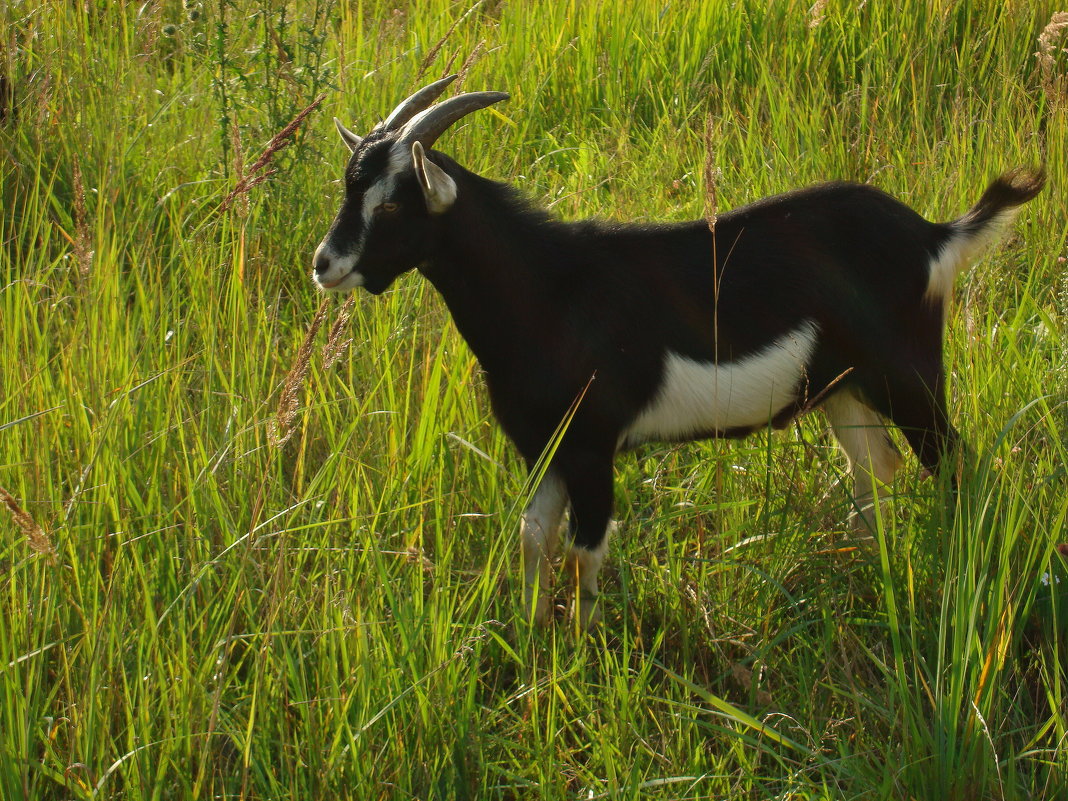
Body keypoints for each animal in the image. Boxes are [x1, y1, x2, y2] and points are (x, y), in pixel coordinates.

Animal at [311, 75, 1046, 627]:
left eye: (393, 205)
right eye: (348, 186)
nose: (325, 264)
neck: (548, 287)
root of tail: (933, 236)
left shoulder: (591, 446)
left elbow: (582, 553)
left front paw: (582, 655)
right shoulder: (546, 446)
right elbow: (532, 539)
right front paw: (531, 642)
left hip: (909, 378)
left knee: (959, 468)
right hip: (844, 391)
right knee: (877, 475)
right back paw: (874, 579)